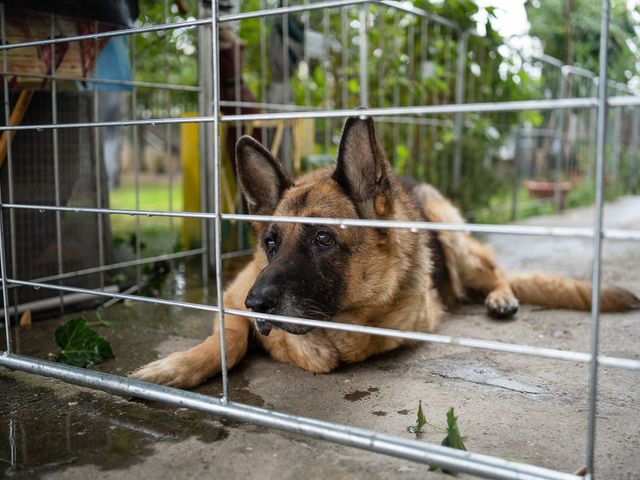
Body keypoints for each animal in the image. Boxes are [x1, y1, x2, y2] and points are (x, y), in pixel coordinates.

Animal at [131, 118, 640, 388]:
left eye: (323, 239)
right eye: (270, 242)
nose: (259, 305)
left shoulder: (402, 322)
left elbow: (338, 347)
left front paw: (307, 347)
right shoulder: (235, 294)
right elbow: (229, 338)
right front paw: (178, 367)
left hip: (452, 234)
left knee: (496, 272)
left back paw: (500, 297)